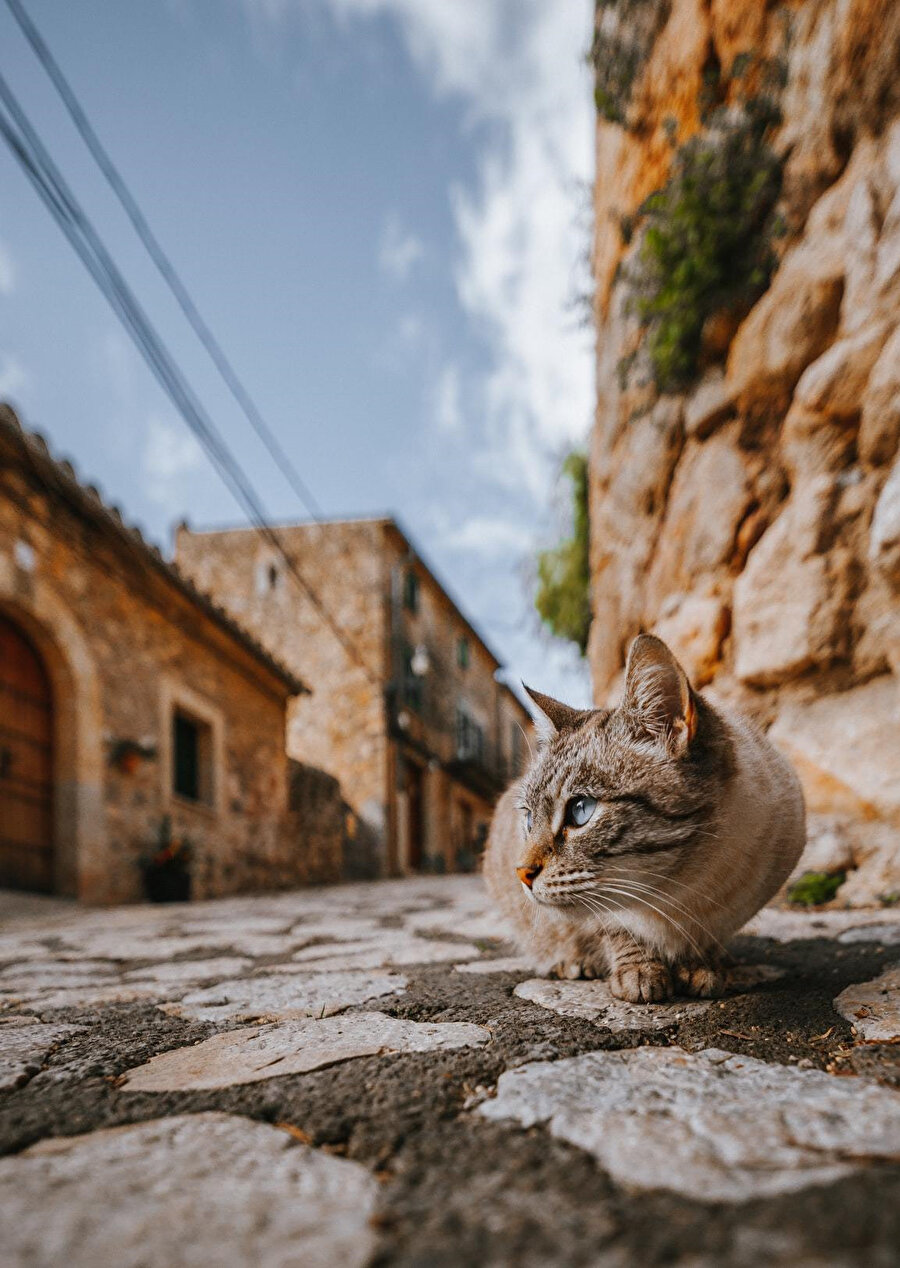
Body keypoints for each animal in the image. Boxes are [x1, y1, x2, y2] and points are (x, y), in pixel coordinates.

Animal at [484, 634, 806, 999]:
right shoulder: (604, 913)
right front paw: (640, 975)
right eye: (528, 820)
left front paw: (703, 969)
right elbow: (620, 935)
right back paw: (574, 963)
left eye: (581, 810)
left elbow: (708, 940)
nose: (522, 873)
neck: (683, 889)